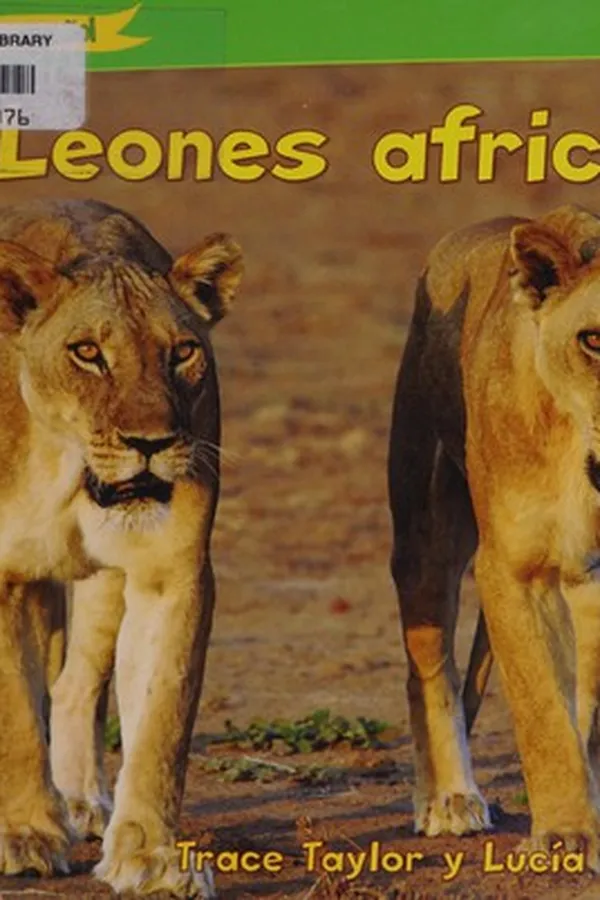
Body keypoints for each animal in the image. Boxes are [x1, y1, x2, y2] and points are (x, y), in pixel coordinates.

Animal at [0, 197, 243, 898]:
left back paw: (80, 800)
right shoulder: (7, 577)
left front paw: (150, 855)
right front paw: (25, 834)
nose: (150, 443)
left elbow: (162, 719)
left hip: (101, 584)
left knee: (75, 684)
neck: (67, 470)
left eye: (182, 352)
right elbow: (15, 713)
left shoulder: (172, 574)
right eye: (87, 353)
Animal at [388, 204, 600, 867]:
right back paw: (448, 799)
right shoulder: (510, 570)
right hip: (426, 537)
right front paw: (566, 833)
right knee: (431, 670)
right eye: (593, 339)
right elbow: (542, 711)